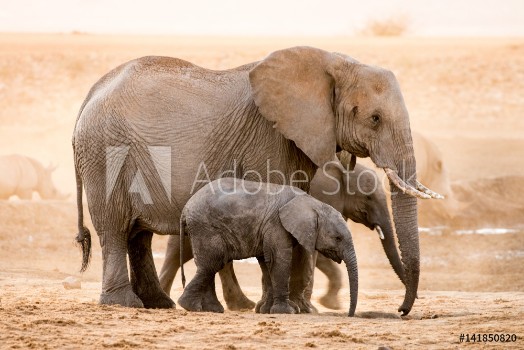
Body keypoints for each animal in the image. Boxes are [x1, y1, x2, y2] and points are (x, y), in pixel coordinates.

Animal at [178, 178, 358, 318]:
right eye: (338, 238)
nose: (349, 314)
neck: (313, 203)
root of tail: (185, 209)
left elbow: (266, 262)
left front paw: (266, 311)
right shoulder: (276, 225)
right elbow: (279, 260)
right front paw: (287, 312)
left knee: (209, 265)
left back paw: (211, 309)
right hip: (206, 228)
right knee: (212, 263)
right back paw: (190, 306)